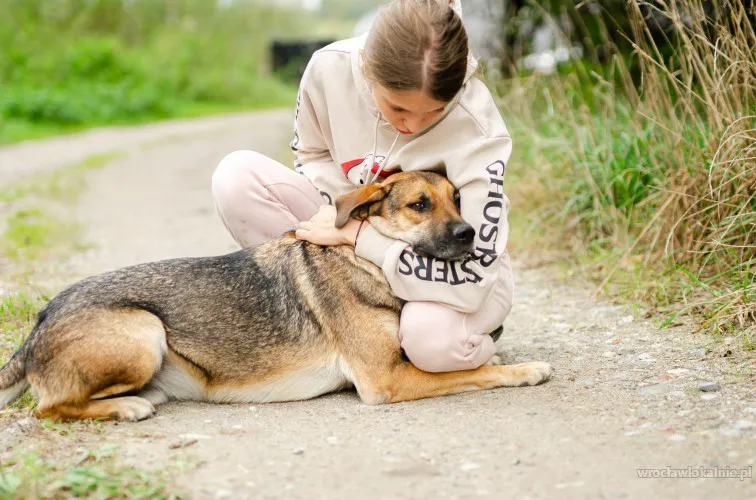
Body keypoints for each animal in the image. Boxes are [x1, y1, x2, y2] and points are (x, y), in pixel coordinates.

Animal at [0, 170, 556, 420]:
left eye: (457, 199)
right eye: (419, 204)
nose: (471, 234)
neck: (365, 260)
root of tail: (41, 319)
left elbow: (476, 361)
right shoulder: (385, 380)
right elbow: (471, 372)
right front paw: (524, 370)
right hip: (144, 329)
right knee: (46, 409)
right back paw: (127, 408)